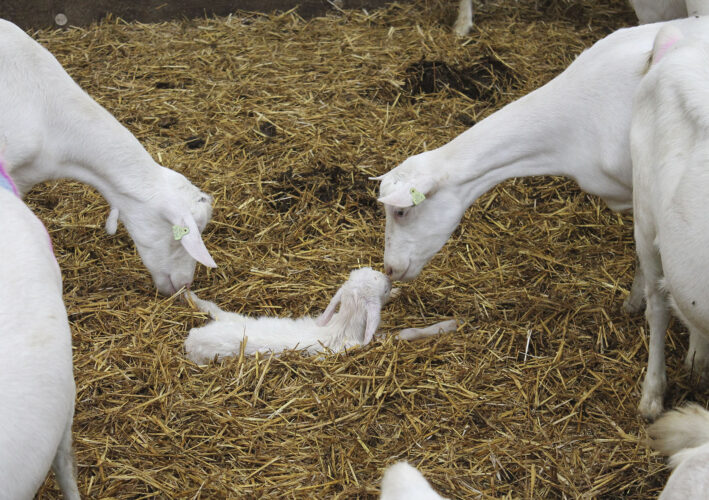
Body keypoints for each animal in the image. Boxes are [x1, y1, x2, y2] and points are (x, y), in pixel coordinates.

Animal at [185, 268, 456, 362]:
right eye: (384, 288)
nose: (391, 280)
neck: (343, 324)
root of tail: (191, 340)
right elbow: (407, 332)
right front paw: (450, 324)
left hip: (232, 317)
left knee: (211, 307)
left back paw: (187, 295)